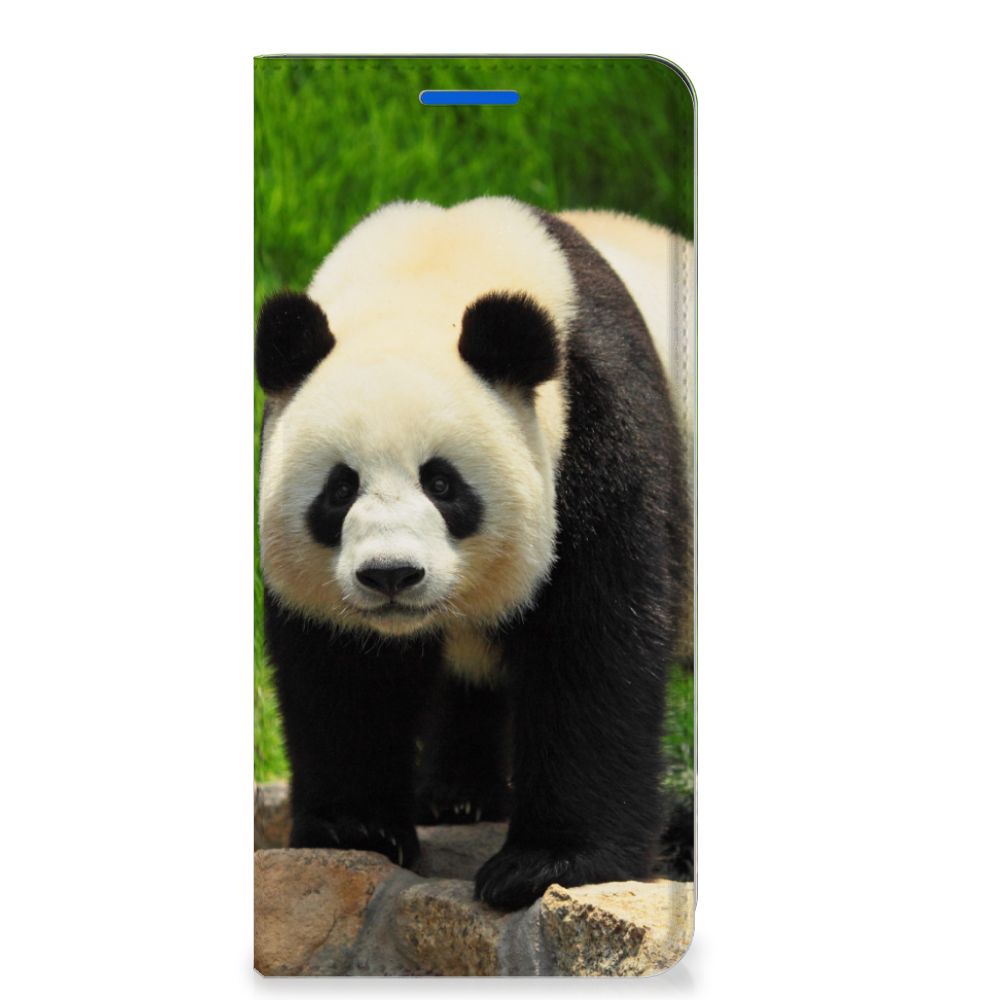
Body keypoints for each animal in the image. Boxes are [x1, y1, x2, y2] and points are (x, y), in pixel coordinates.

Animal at [256, 196, 693, 911]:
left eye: (442, 483)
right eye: (340, 489)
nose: (391, 575)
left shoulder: (598, 427)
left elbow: (593, 644)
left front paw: (547, 864)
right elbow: (342, 669)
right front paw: (357, 829)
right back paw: (456, 797)